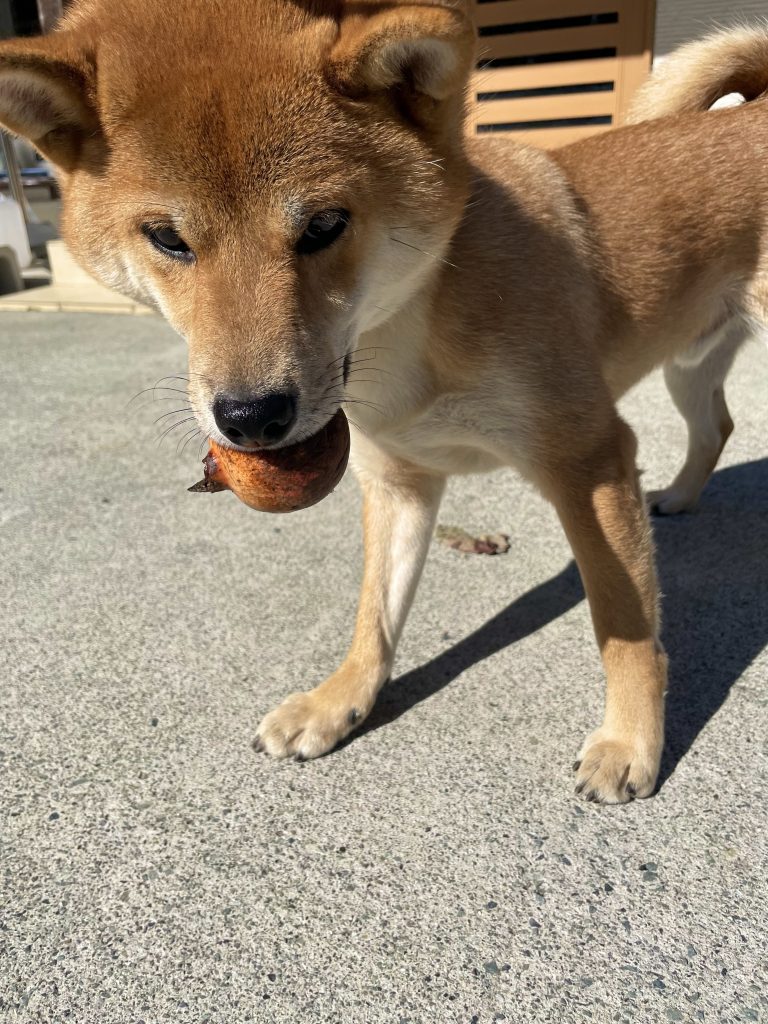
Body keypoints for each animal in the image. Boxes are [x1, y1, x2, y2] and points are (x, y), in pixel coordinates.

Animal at [3, 4, 765, 802]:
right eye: (166, 238)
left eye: (323, 225)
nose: (251, 418)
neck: (410, 324)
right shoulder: (398, 482)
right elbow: (375, 618)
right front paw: (339, 702)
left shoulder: (590, 459)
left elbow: (624, 628)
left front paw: (630, 741)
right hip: (688, 367)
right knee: (717, 425)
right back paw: (678, 494)